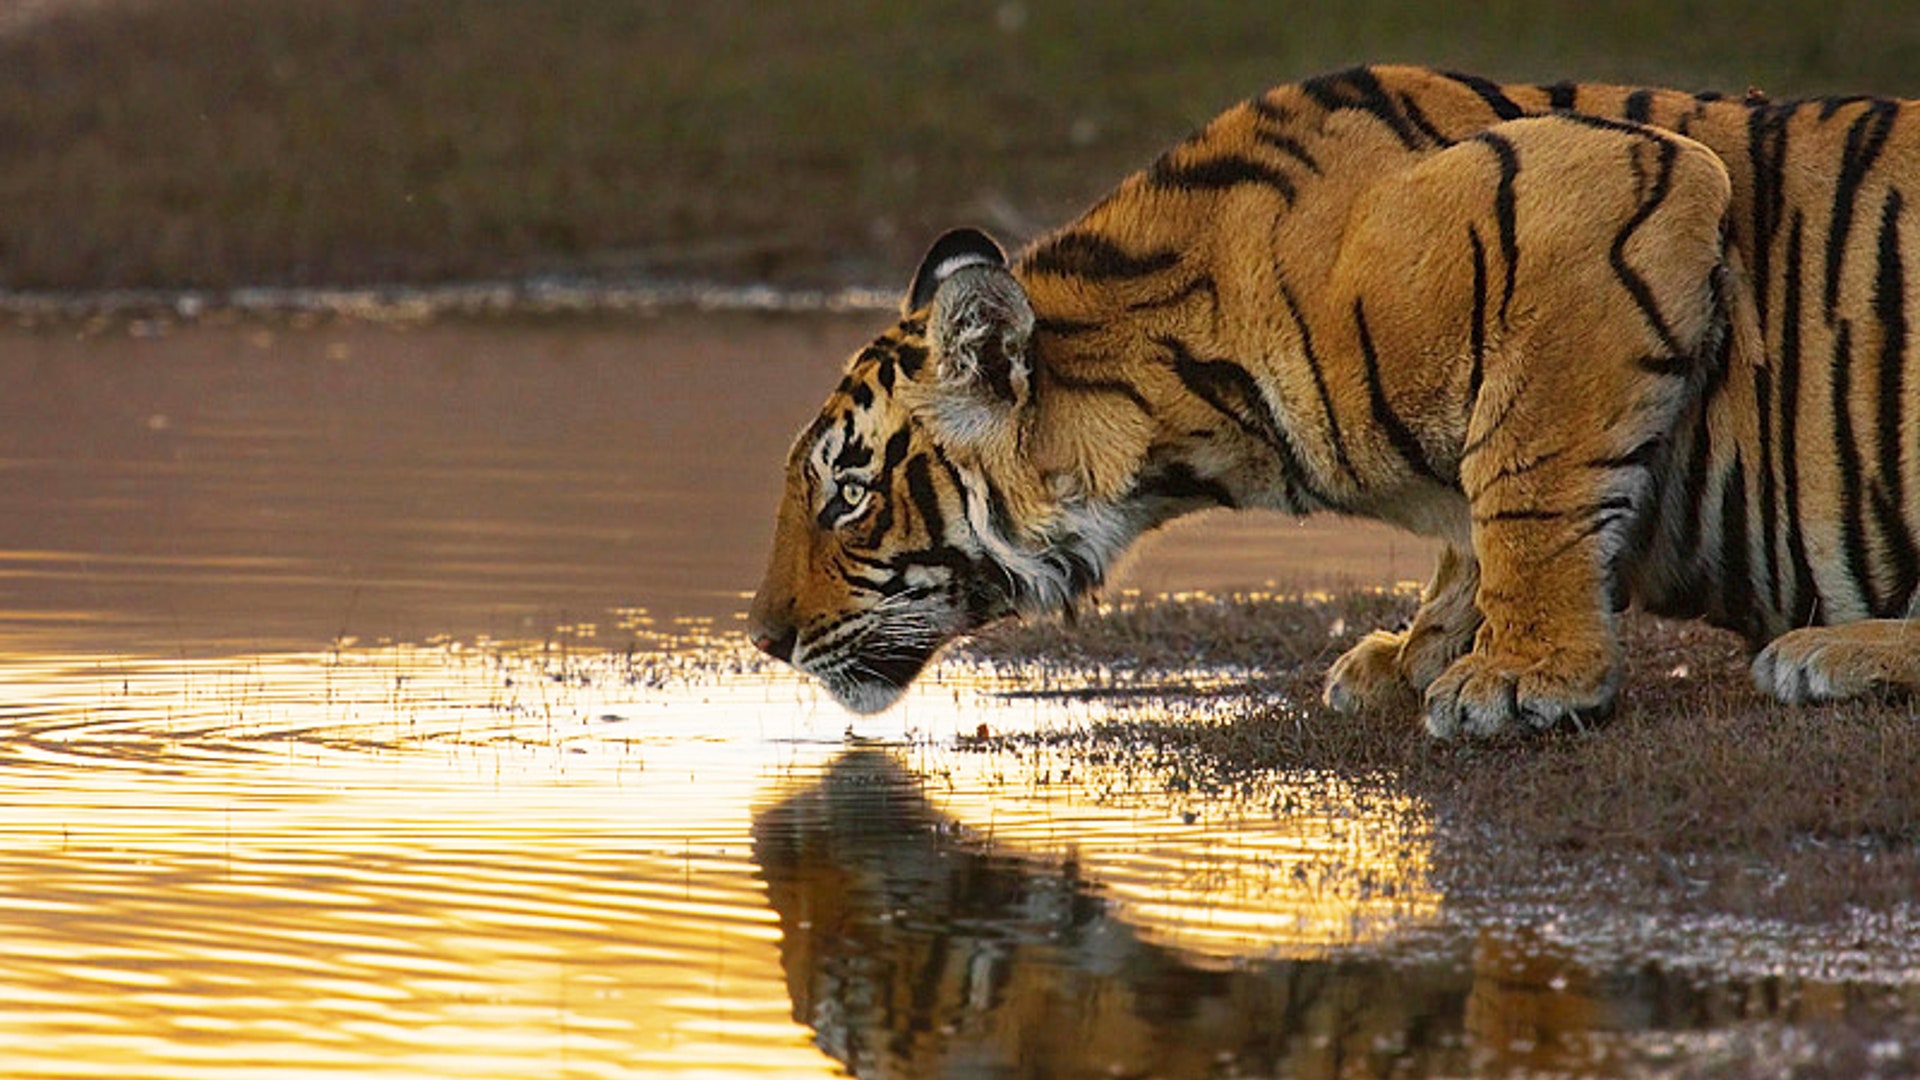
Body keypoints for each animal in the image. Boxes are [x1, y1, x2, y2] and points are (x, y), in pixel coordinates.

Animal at [748, 64, 1920, 739]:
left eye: (848, 495)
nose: (763, 639)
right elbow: (1470, 535)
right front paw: (1416, 655)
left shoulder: (1606, 191)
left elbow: (1526, 486)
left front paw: (1526, 677)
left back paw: (1825, 654)